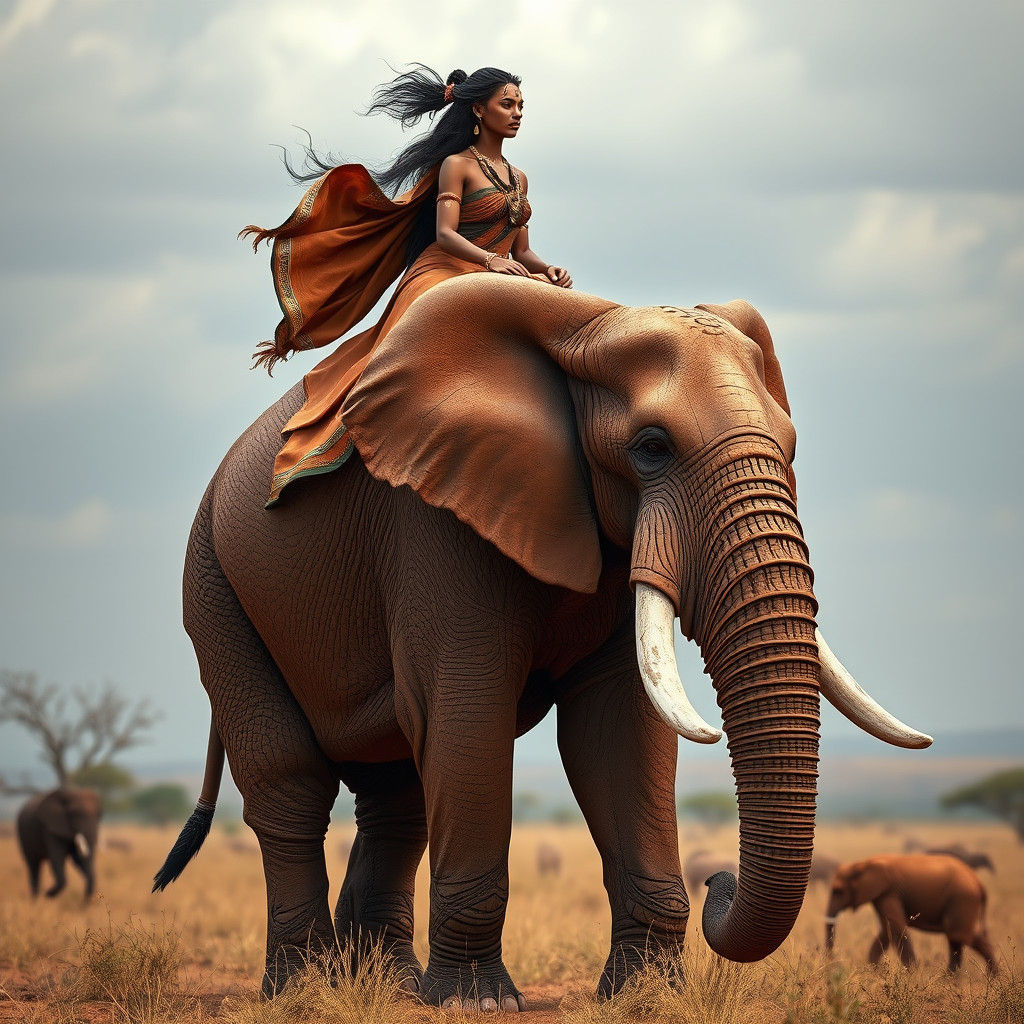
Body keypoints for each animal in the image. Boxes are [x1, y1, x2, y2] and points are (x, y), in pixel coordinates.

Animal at [153, 276, 931, 1009]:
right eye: (651, 448)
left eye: (791, 446)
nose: (719, 878)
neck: (584, 328)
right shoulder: (435, 516)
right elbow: (467, 714)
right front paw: (479, 1002)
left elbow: (618, 732)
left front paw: (646, 995)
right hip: (214, 584)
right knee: (290, 785)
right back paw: (304, 990)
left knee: (396, 792)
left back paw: (388, 987)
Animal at [824, 854, 997, 973]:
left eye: (838, 891)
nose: (833, 964)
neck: (863, 863)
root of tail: (978, 882)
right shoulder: (883, 895)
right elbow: (886, 931)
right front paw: (874, 973)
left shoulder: (889, 892)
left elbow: (896, 929)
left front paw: (912, 974)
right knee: (959, 938)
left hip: (962, 898)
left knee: (957, 935)